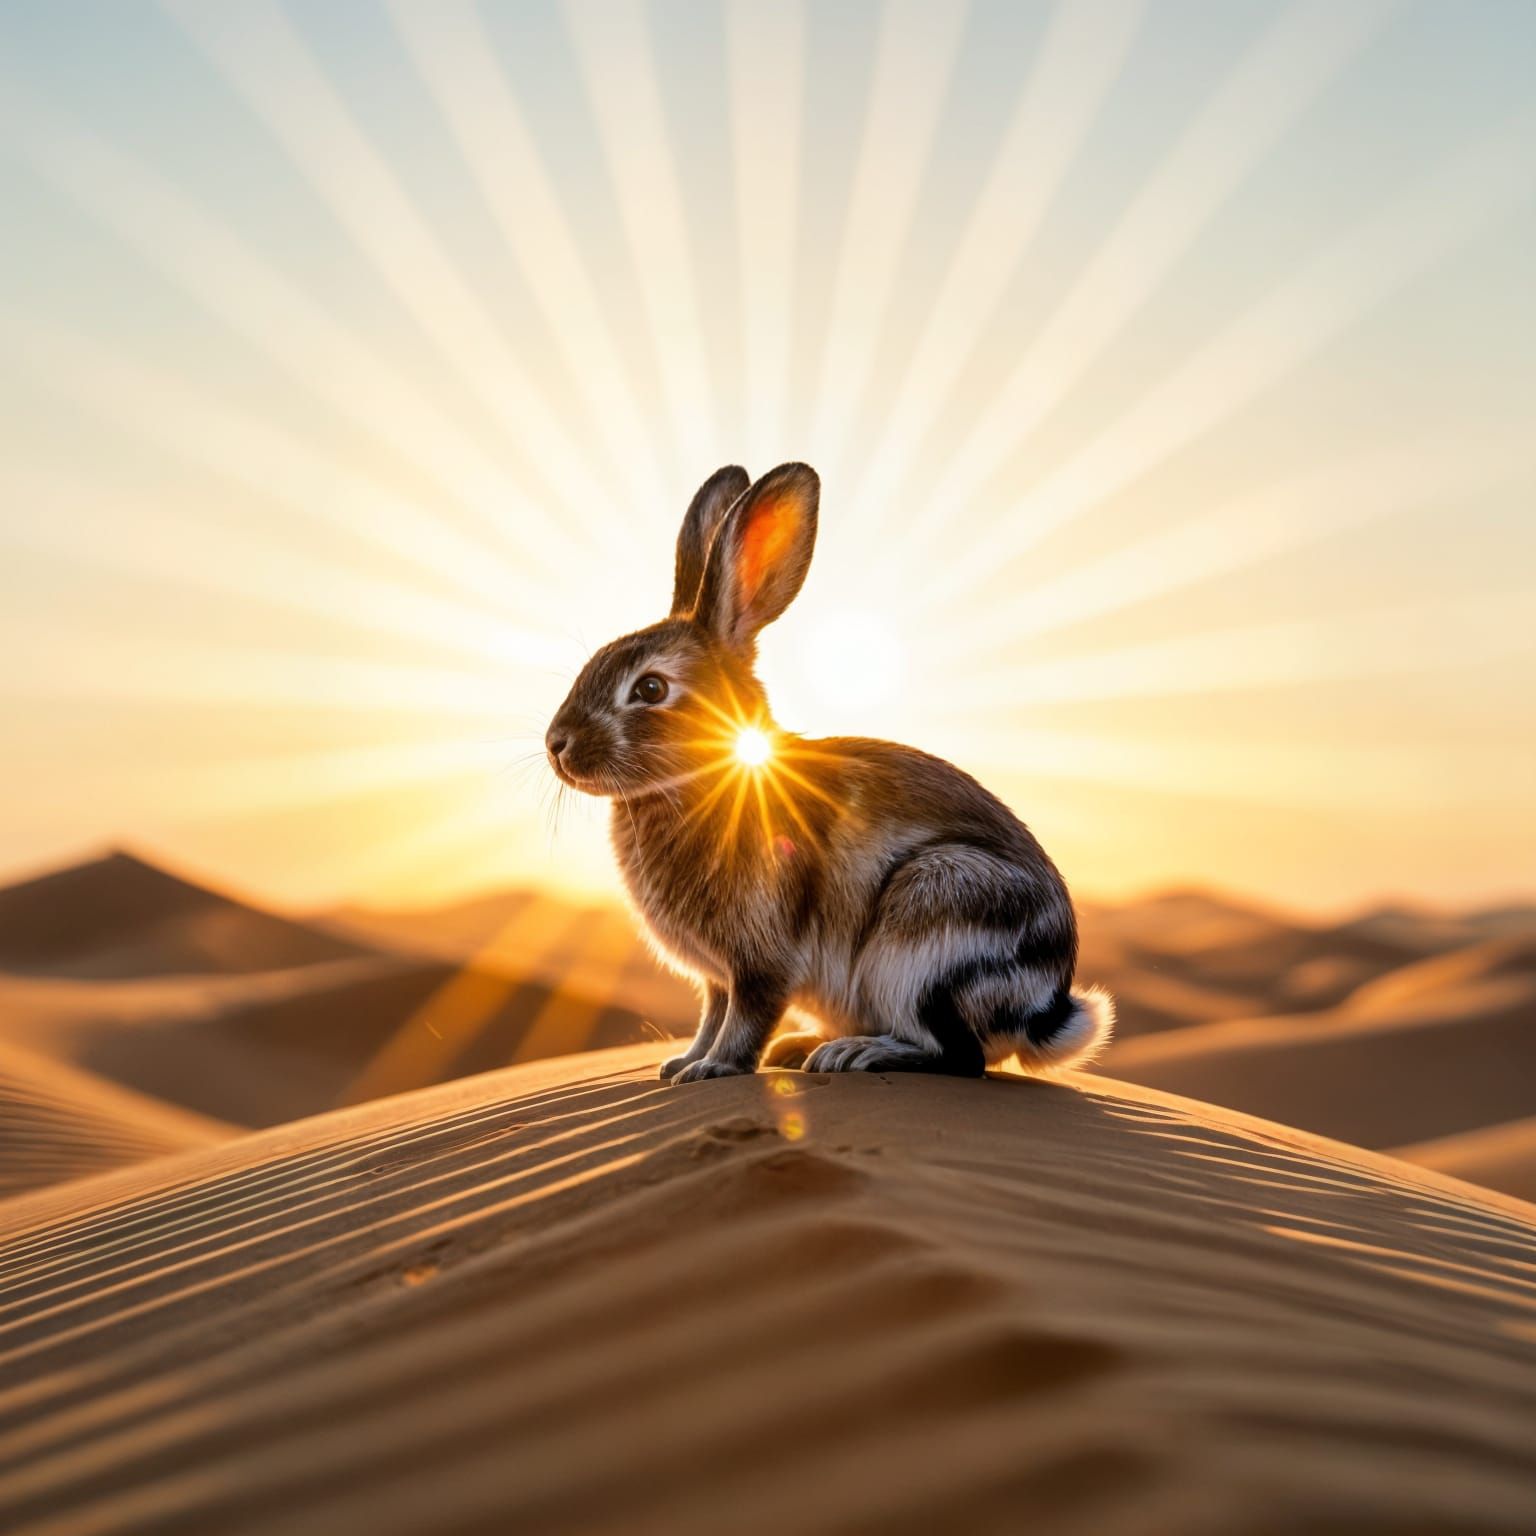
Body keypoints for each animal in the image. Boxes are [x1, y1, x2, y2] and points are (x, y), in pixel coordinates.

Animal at [545, 462, 1114, 1084]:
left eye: (650, 688)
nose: (556, 745)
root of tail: (1044, 1007)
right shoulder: (717, 975)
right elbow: (711, 1013)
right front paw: (683, 1064)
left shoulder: (762, 958)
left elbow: (746, 1016)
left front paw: (715, 1069)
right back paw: (805, 1048)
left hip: (929, 933)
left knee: (959, 1058)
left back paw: (854, 1054)